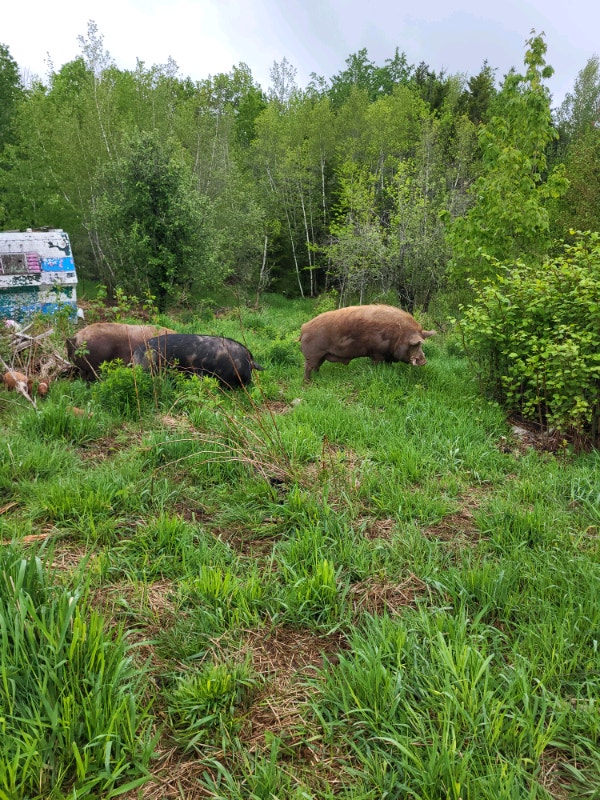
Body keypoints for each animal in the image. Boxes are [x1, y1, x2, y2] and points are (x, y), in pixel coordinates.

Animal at [299, 304, 436, 381]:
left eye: (420, 344)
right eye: (415, 344)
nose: (424, 361)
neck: (399, 335)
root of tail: (304, 328)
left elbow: (389, 364)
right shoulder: (377, 353)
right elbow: (376, 363)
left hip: (321, 356)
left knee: (316, 367)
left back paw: (318, 377)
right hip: (313, 354)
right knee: (308, 367)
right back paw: (308, 382)